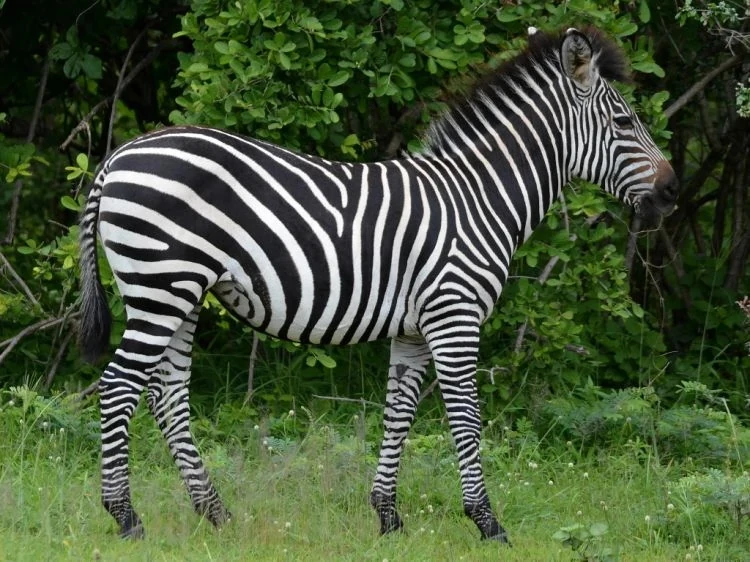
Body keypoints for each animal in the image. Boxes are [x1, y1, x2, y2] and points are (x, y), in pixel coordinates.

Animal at [77, 26, 677, 542]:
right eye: (625, 122)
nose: (673, 191)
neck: (477, 199)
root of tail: (116, 158)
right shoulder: (454, 316)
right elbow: (465, 418)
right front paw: (488, 523)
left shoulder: (413, 328)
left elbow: (399, 412)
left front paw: (388, 517)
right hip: (161, 286)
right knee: (119, 386)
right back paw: (125, 517)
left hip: (180, 293)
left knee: (167, 392)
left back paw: (215, 513)